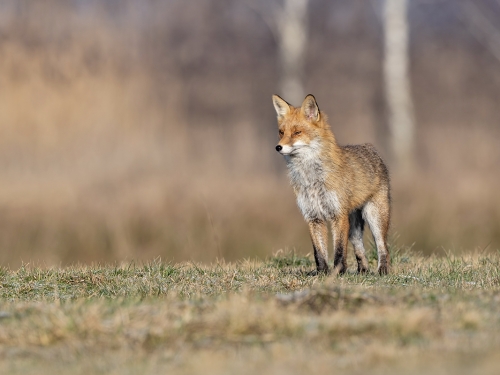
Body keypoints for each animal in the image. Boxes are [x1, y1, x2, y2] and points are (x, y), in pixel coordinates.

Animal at [274, 94, 390, 276]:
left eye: (297, 132)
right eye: (281, 132)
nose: (278, 147)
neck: (312, 178)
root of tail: (370, 147)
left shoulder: (338, 214)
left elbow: (339, 250)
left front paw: (337, 273)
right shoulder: (313, 216)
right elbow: (319, 252)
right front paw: (322, 273)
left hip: (374, 216)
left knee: (383, 246)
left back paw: (383, 270)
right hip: (353, 228)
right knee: (360, 249)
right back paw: (362, 271)